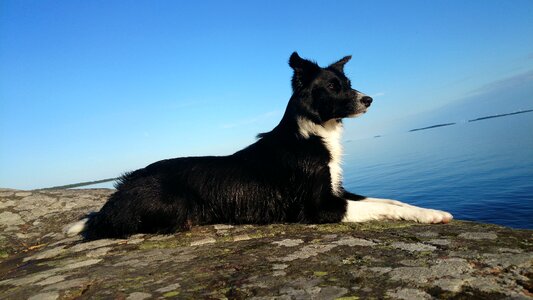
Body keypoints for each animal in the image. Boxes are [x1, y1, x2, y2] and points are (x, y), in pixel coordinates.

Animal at [65, 51, 448, 239]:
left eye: (349, 82)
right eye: (333, 86)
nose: (369, 99)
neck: (313, 133)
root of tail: (119, 190)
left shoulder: (337, 191)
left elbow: (390, 201)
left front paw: (432, 213)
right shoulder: (320, 207)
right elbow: (379, 207)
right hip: (172, 202)